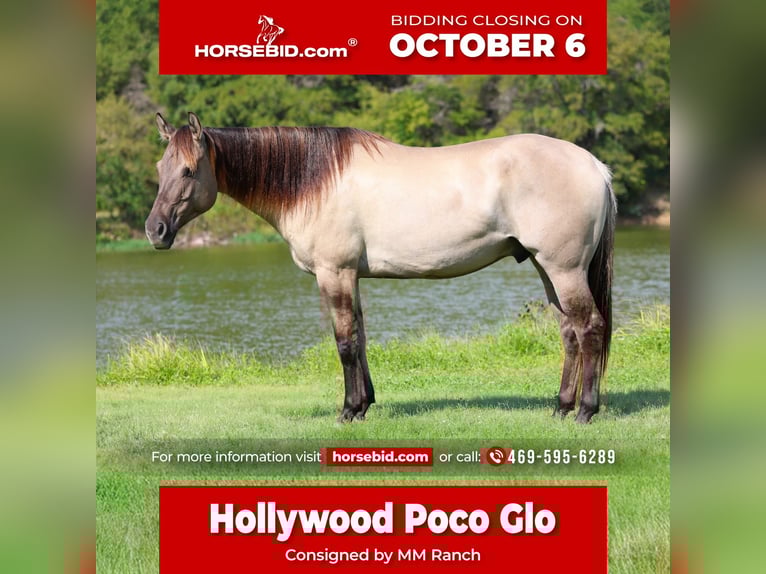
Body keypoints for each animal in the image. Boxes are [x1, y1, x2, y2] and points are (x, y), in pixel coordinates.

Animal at [146, 113, 616, 424]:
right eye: (159, 168)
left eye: (188, 170)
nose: (155, 230)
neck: (314, 181)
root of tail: (594, 165)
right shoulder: (350, 276)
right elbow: (361, 337)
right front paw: (364, 403)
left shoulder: (333, 272)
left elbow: (345, 342)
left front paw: (348, 411)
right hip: (546, 267)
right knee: (569, 333)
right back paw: (560, 407)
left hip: (563, 268)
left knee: (590, 328)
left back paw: (584, 412)